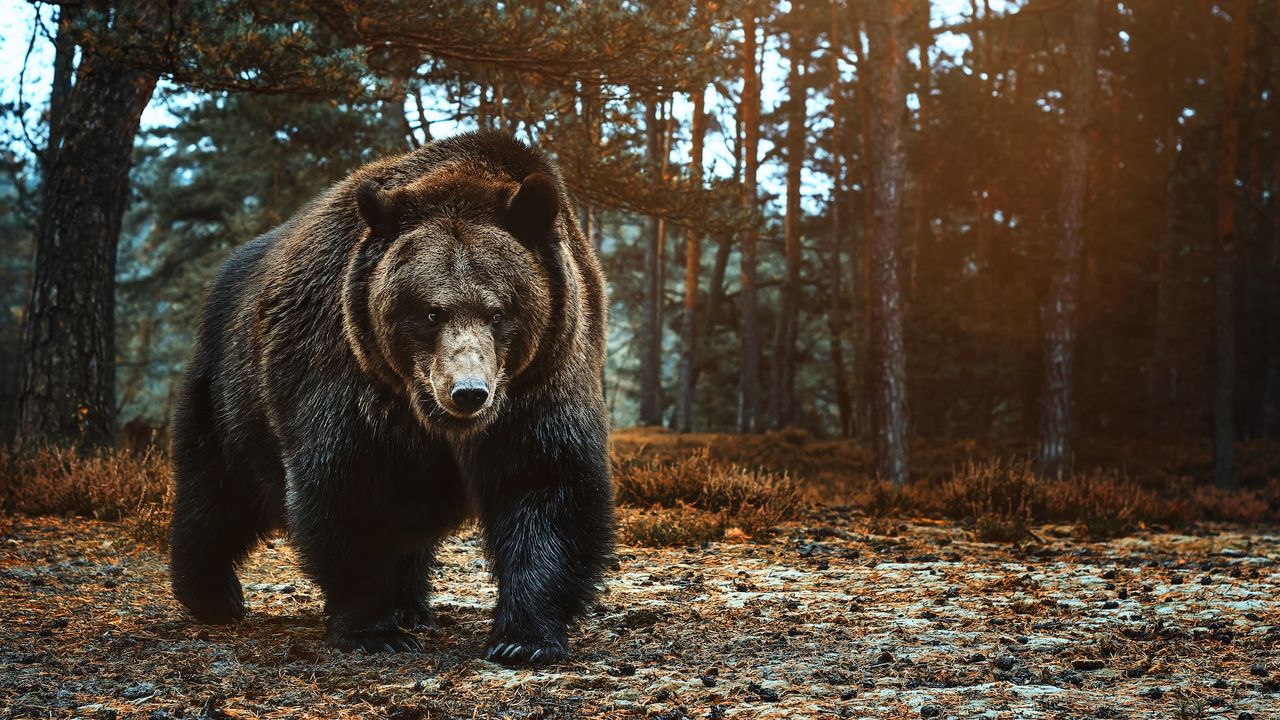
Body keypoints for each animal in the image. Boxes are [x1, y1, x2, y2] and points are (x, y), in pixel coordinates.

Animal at [167, 130, 615, 665]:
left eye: (499, 311)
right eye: (430, 312)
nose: (468, 392)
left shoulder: (541, 380)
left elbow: (546, 487)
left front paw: (523, 638)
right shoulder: (347, 375)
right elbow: (351, 490)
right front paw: (373, 630)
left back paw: (411, 606)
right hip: (231, 395)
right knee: (217, 490)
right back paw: (212, 594)